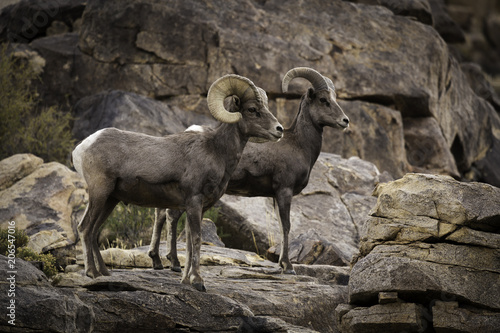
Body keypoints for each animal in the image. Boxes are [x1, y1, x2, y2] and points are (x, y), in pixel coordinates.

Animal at [72, 74, 284, 290]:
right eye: (252, 109)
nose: (279, 129)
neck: (217, 151)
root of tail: (82, 147)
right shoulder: (194, 201)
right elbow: (196, 240)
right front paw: (198, 282)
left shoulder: (198, 208)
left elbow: (189, 244)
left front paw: (185, 280)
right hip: (99, 193)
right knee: (85, 228)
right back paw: (91, 273)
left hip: (110, 200)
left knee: (94, 231)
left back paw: (104, 273)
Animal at [150, 67, 350, 272]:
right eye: (323, 100)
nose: (345, 121)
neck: (300, 145)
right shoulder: (284, 191)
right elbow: (286, 226)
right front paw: (288, 266)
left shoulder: (275, 197)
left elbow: (280, 226)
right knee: (171, 215)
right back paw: (174, 263)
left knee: (161, 213)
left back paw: (157, 260)